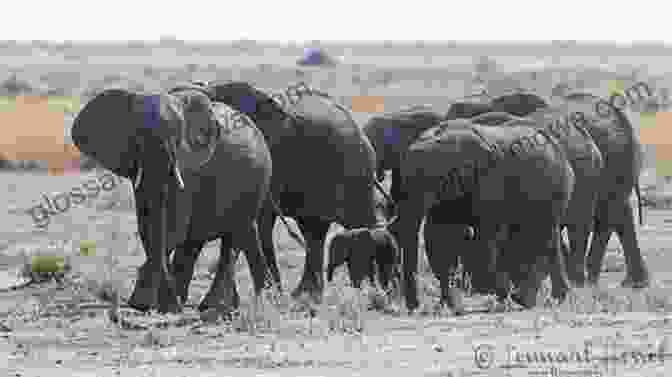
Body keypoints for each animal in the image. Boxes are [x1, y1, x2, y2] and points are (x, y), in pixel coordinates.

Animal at [71, 87, 272, 312]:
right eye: (137, 138)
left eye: (176, 139)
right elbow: (148, 227)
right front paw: (146, 304)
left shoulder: (188, 168)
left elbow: (172, 229)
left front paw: (159, 305)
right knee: (198, 242)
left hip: (256, 182)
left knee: (233, 239)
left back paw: (210, 306)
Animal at [168, 81, 396, 306]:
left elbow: (254, 223)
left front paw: (266, 297)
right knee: (313, 229)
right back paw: (306, 296)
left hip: (354, 170)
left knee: (358, 221)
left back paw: (382, 295)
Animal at [394, 118, 576, 312]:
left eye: (434, 177)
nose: (415, 306)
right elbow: (440, 238)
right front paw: (452, 305)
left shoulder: (489, 182)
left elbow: (485, 234)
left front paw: (500, 294)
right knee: (540, 236)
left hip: (556, 190)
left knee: (543, 234)